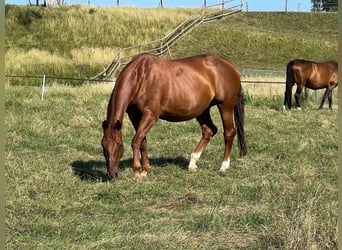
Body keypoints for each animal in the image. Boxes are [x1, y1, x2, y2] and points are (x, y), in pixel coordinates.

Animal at [100, 52, 247, 179]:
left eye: (119, 145)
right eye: (103, 145)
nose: (112, 174)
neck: (141, 77)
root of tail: (231, 67)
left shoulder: (151, 115)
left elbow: (136, 140)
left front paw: (136, 172)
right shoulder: (134, 115)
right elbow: (142, 141)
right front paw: (145, 170)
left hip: (225, 106)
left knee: (229, 133)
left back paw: (224, 166)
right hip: (202, 111)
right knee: (209, 131)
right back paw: (192, 163)